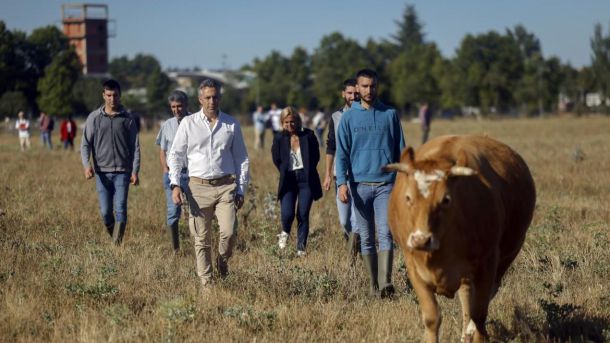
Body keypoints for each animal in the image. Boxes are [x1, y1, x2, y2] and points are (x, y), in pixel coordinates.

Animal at [382, 136, 536, 342]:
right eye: (408, 198)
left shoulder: (487, 264)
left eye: (446, 200)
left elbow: (479, 315)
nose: (421, 240)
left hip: (503, 260)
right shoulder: (413, 267)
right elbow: (432, 317)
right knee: (466, 298)